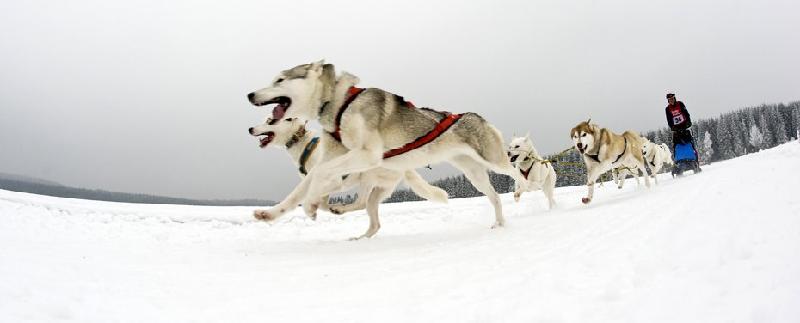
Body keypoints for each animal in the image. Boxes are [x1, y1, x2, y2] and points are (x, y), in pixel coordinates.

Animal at [247, 60, 528, 232]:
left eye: (279, 80)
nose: (250, 94)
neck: (336, 106)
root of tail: (475, 116)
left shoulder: (366, 155)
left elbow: (320, 178)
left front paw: (311, 206)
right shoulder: (336, 160)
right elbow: (298, 191)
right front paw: (271, 214)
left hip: (492, 159)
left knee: (514, 171)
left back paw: (522, 188)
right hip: (473, 173)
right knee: (494, 197)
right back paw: (500, 222)